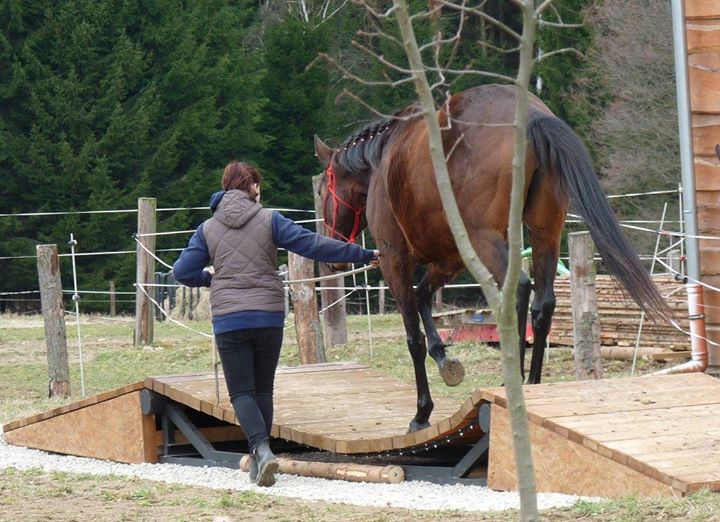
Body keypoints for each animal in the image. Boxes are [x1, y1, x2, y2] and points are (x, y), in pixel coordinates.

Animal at [316, 84, 668, 430]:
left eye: (321, 191)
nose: (334, 258)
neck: (383, 159)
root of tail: (531, 116)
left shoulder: (395, 259)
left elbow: (413, 335)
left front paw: (422, 413)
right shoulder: (450, 260)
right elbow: (424, 298)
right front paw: (443, 358)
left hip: (487, 241)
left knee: (520, 290)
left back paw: (513, 379)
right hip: (545, 234)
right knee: (543, 303)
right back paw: (532, 382)